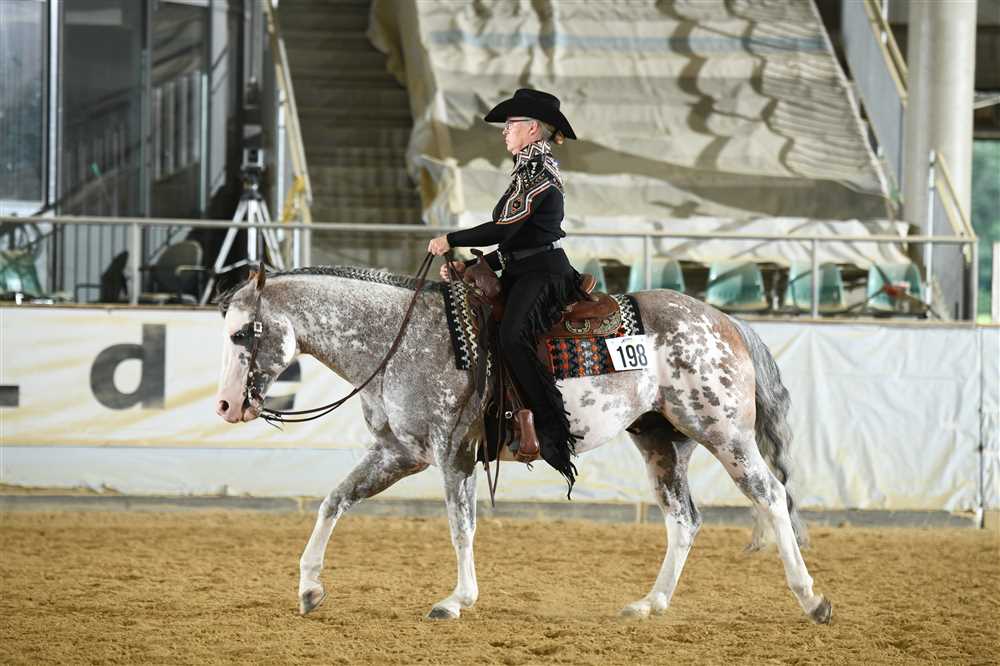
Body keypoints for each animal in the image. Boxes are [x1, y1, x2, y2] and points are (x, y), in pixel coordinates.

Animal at [214, 265, 832, 624]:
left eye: (243, 333)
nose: (225, 406)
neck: (401, 340)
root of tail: (723, 320)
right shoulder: (398, 454)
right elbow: (333, 501)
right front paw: (309, 588)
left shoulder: (453, 454)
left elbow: (461, 526)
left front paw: (455, 600)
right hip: (663, 441)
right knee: (684, 519)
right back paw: (649, 604)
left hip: (723, 431)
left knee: (771, 496)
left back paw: (812, 598)